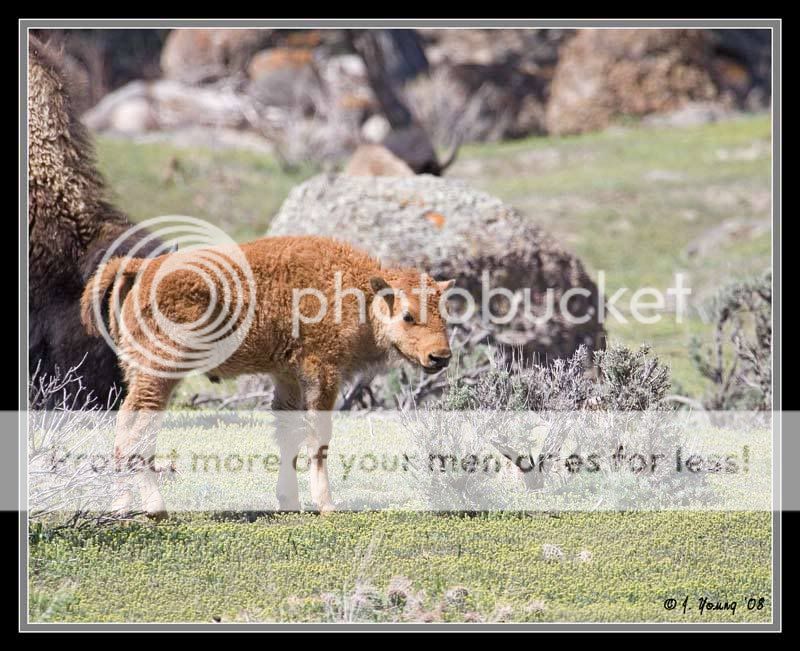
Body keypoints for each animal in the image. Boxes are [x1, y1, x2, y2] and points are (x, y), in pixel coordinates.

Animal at [85, 236, 456, 520]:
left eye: (445, 314)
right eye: (407, 316)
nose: (440, 357)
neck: (357, 293)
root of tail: (142, 268)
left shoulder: (287, 376)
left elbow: (288, 436)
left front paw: (289, 502)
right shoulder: (322, 372)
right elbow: (317, 437)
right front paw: (326, 505)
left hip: (140, 371)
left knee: (126, 425)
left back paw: (121, 506)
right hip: (162, 371)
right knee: (141, 431)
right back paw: (156, 509)